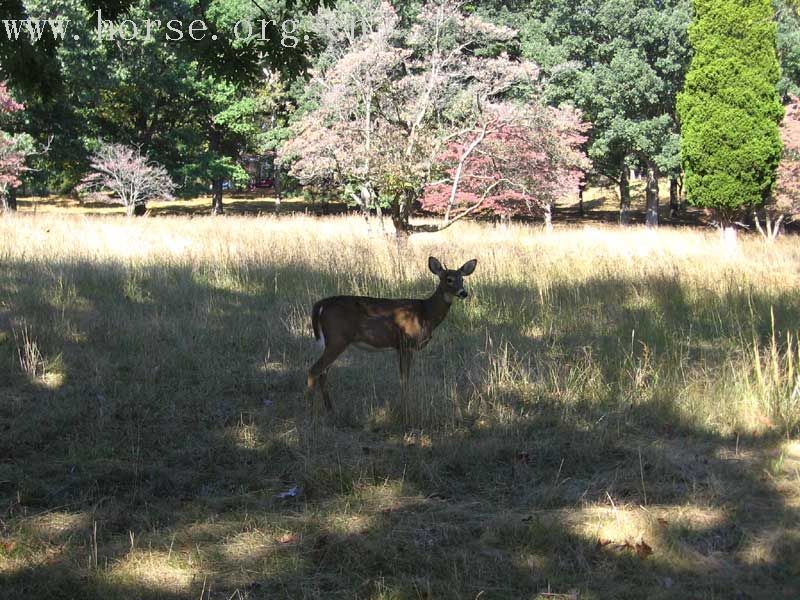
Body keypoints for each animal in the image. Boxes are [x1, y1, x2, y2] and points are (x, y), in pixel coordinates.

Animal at [306, 255, 476, 410]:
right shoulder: (406, 343)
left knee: (323, 373)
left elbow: (404, 377)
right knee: (314, 370)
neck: (426, 313)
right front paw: (405, 407)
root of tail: (321, 305)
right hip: (337, 339)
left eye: (462, 279)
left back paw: (330, 409)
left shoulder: (400, 347)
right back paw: (311, 411)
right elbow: (404, 378)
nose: (463, 293)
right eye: (449, 279)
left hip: (332, 342)